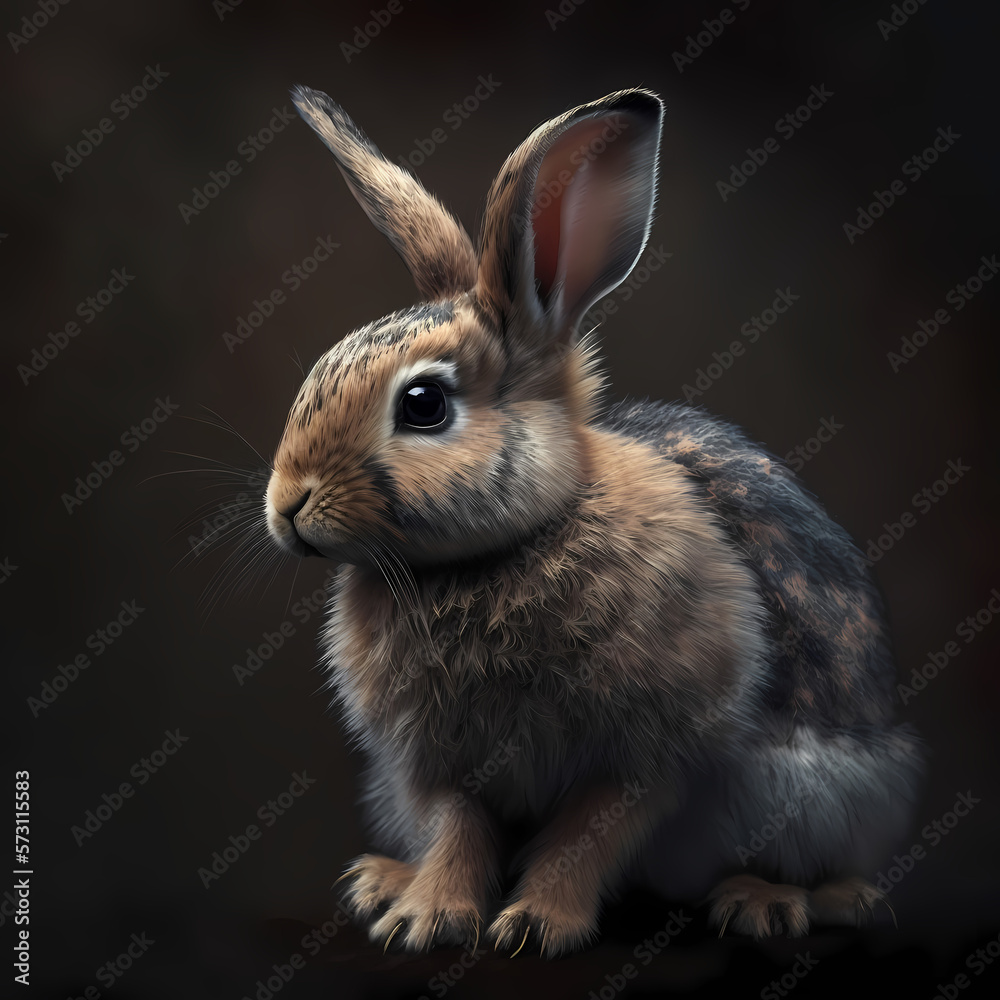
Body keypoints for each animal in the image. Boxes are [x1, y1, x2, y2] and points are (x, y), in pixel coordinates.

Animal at [263, 83, 923, 956]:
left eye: (424, 404)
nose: (287, 505)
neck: (503, 549)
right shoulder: (437, 766)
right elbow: (456, 831)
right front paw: (426, 916)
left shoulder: (652, 753)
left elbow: (591, 833)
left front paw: (535, 927)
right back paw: (380, 880)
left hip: (828, 796)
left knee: (835, 870)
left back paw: (772, 902)